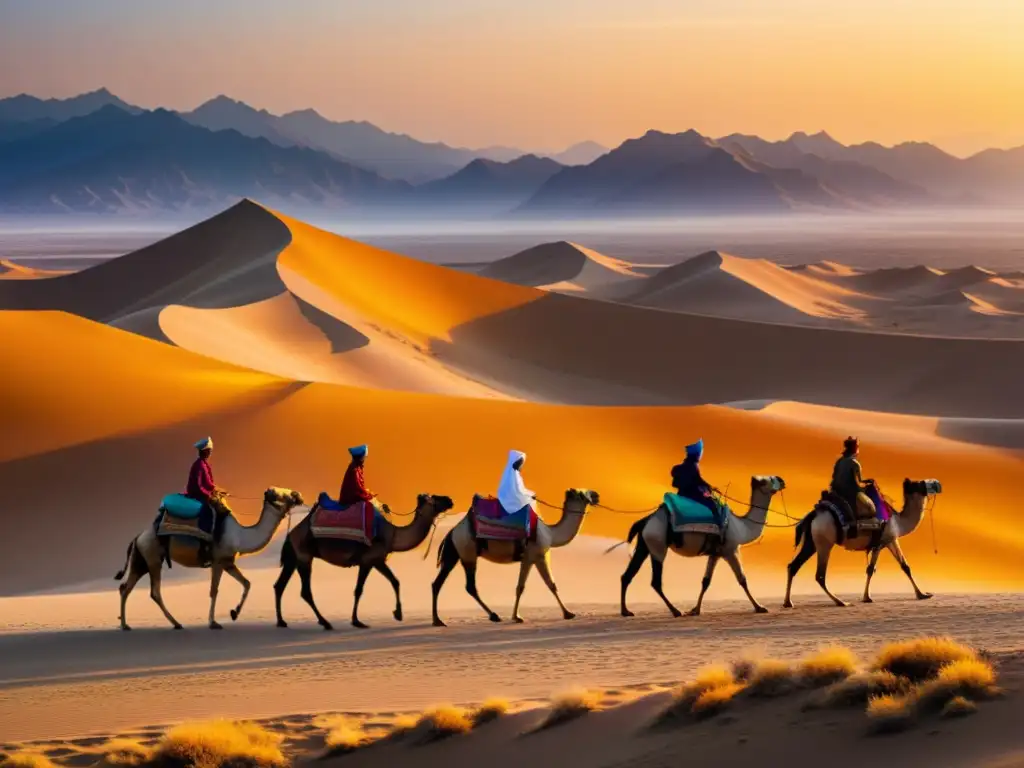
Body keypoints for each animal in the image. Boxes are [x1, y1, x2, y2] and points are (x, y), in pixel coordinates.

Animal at [116, 487, 305, 630]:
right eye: (281, 494)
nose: (298, 495)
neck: (239, 536)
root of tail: (138, 537)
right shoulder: (217, 561)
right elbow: (214, 590)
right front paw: (213, 623)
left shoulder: (228, 562)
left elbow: (247, 583)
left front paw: (234, 613)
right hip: (153, 556)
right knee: (154, 591)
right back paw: (176, 623)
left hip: (142, 560)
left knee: (125, 587)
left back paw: (125, 625)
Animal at [274, 493, 450, 630]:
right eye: (435, 498)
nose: (450, 500)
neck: (392, 534)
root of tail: (291, 534)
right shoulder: (367, 560)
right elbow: (359, 590)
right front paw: (357, 621)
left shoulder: (377, 560)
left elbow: (395, 581)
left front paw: (398, 614)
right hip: (304, 556)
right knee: (305, 591)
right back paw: (325, 623)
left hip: (294, 558)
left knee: (279, 585)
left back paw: (282, 621)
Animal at [432, 489, 598, 626]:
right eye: (582, 493)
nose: (596, 495)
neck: (551, 534)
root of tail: (451, 532)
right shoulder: (536, 556)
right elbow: (547, 585)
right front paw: (568, 614)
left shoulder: (530, 559)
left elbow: (524, 586)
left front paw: (516, 616)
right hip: (468, 552)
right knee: (470, 586)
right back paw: (493, 616)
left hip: (454, 554)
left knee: (438, 583)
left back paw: (438, 620)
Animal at [614, 475, 782, 618]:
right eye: (768, 480)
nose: (782, 480)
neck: (742, 527)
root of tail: (645, 521)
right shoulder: (731, 550)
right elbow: (742, 579)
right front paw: (760, 607)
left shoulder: (715, 553)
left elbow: (705, 581)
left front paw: (695, 610)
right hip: (658, 545)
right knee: (655, 581)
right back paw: (675, 611)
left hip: (644, 545)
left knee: (627, 575)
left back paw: (626, 611)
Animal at [782, 479, 942, 610]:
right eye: (921, 483)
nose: (938, 484)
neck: (899, 522)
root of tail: (813, 515)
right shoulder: (884, 541)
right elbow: (873, 569)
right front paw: (867, 597)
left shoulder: (889, 541)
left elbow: (904, 566)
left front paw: (923, 594)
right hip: (824, 543)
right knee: (819, 575)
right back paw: (841, 602)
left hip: (811, 542)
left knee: (793, 566)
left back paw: (788, 602)